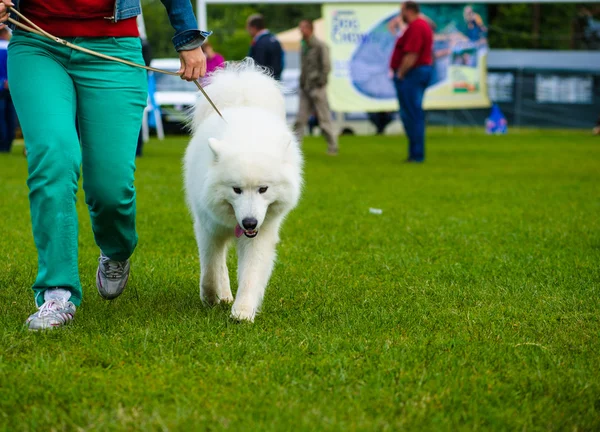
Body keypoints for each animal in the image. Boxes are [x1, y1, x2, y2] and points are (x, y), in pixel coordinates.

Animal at [183, 62, 304, 322]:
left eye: (263, 189)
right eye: (236, 190)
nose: (249, 223)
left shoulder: (261, 234)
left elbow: (251, 273)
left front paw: (243, 311)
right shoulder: (208, 228)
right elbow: (210, 268)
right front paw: (210, 297)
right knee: (218, 264)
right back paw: (223, 294)